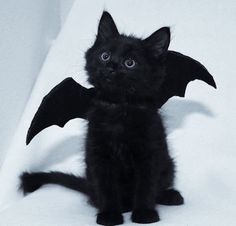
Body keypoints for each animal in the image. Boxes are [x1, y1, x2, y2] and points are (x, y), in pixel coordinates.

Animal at [21, 11, 183, 224]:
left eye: (129, 63)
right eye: (104, 56)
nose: (111, 67)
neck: (119, 109)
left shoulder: (150, 151)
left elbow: (147, 185)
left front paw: (144, 213)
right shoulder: (99, 154)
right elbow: (107, 188)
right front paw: (109, 215)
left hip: (168, 164)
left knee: (161, 184)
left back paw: (169, 195)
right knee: (97, 194)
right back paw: (119, 205)